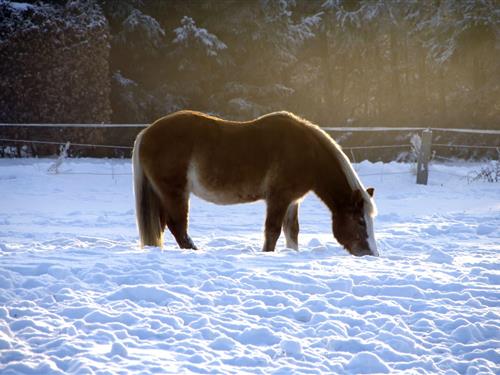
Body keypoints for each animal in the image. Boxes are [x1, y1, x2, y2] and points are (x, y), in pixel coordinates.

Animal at [133, 110, 378, 258]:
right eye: (360, 221)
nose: (371, 254)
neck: (307, 153)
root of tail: (146, 132)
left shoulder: (292, 201)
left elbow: (292, 231)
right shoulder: (278, 198)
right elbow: (272, 231)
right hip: (175, 193)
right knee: (178, 227)